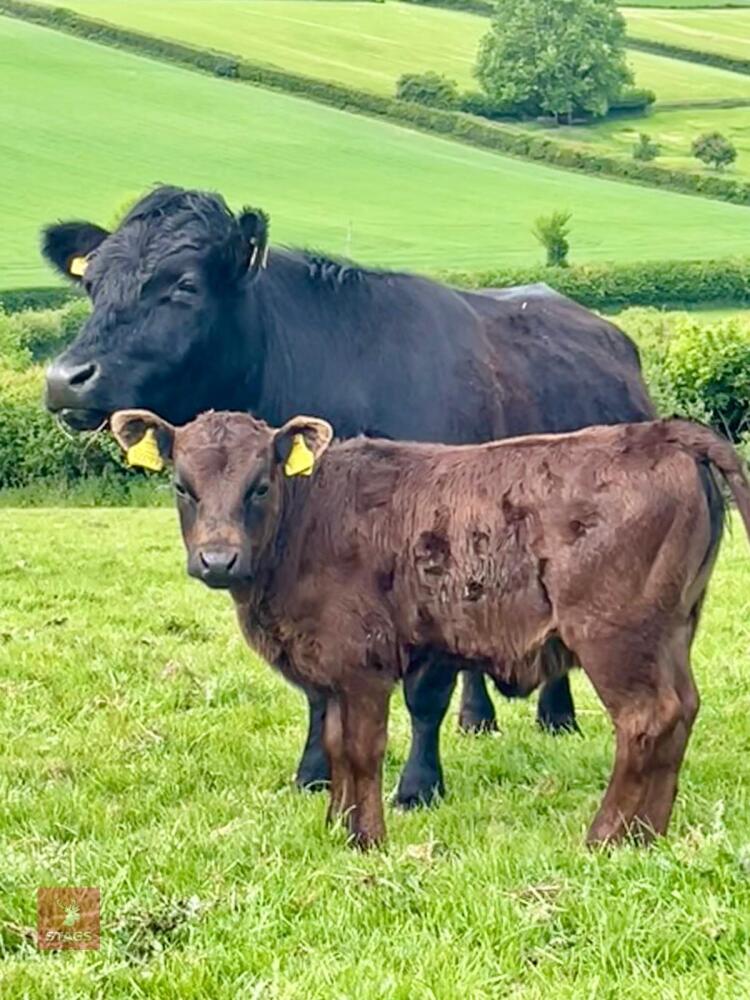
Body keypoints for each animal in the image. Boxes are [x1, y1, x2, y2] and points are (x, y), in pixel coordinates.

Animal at [42, 185, 657, 808]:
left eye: (184, 285)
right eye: (92, 284)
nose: (65, 377)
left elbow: (424, 692)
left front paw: (418, 786)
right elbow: (320, 688)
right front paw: (314, 773)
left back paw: (557, 715)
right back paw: (478, 717)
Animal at [109, 409, 750, 848]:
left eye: (259, 485)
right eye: (182, 486)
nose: (218, 559)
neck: (306, 520)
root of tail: (663, 433)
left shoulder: (361, 663)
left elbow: (361, 749)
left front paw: (365, 839)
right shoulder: (333, 671)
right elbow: (336, 745)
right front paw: (336, 826)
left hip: (615, 637)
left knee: (647, 719)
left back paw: (606, 837)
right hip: (671, 631)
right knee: (681, 712)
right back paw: (648, 835)